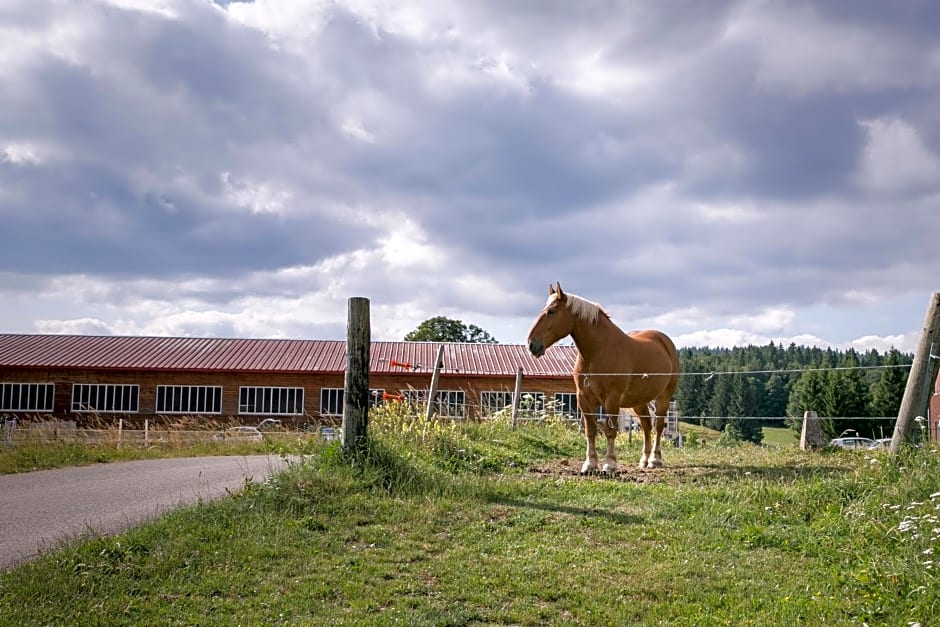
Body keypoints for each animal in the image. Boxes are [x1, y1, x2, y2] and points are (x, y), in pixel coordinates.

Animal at [524, 284, 680, 472]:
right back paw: (644, 459)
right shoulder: (583, 398)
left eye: (551, 311)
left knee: (658, 426)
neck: (598, 352)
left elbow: (610, 431)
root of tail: (665, 341)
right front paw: (590, 464)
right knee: (646, 426)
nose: (532, 344)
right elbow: (590, 430)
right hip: (639, 401)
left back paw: (655, 460)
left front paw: (610, 463)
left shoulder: (612, 399)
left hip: (663, 397)